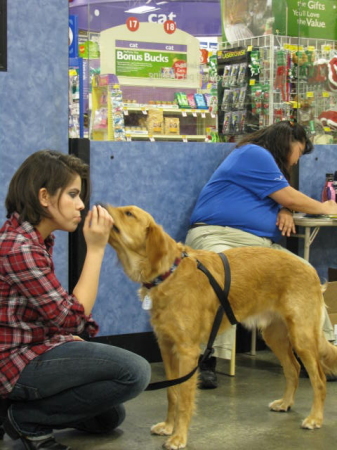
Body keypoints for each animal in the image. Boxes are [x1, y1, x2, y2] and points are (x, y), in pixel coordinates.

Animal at [106, 206, 336, 448]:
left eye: (129, 214)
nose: (102, 205)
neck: (169, 273)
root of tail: (310, 268)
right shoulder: (166, 347)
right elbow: (172, 392)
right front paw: (168, 426)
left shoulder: (187, 352)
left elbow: (184, 397)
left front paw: (179, 436)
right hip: (275, 335)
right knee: (293, 368)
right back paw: (285, 403)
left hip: (302, 337)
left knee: (319, 379)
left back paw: (315, 418)